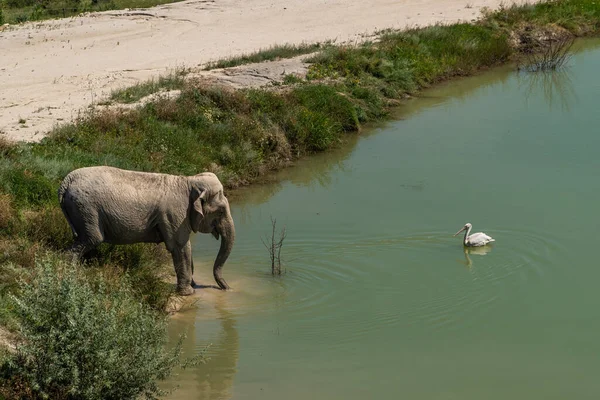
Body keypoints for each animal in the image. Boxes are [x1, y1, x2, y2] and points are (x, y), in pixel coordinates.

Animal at [58, 165, 236, 294]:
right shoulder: (174, 215)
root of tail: (65, 182)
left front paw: (193, 285)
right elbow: (180, 246)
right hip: (86, 209)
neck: (189, 181)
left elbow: (184, 246)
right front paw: (188, 292)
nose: (227, 288)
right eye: (221, 211)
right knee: (91, 239)